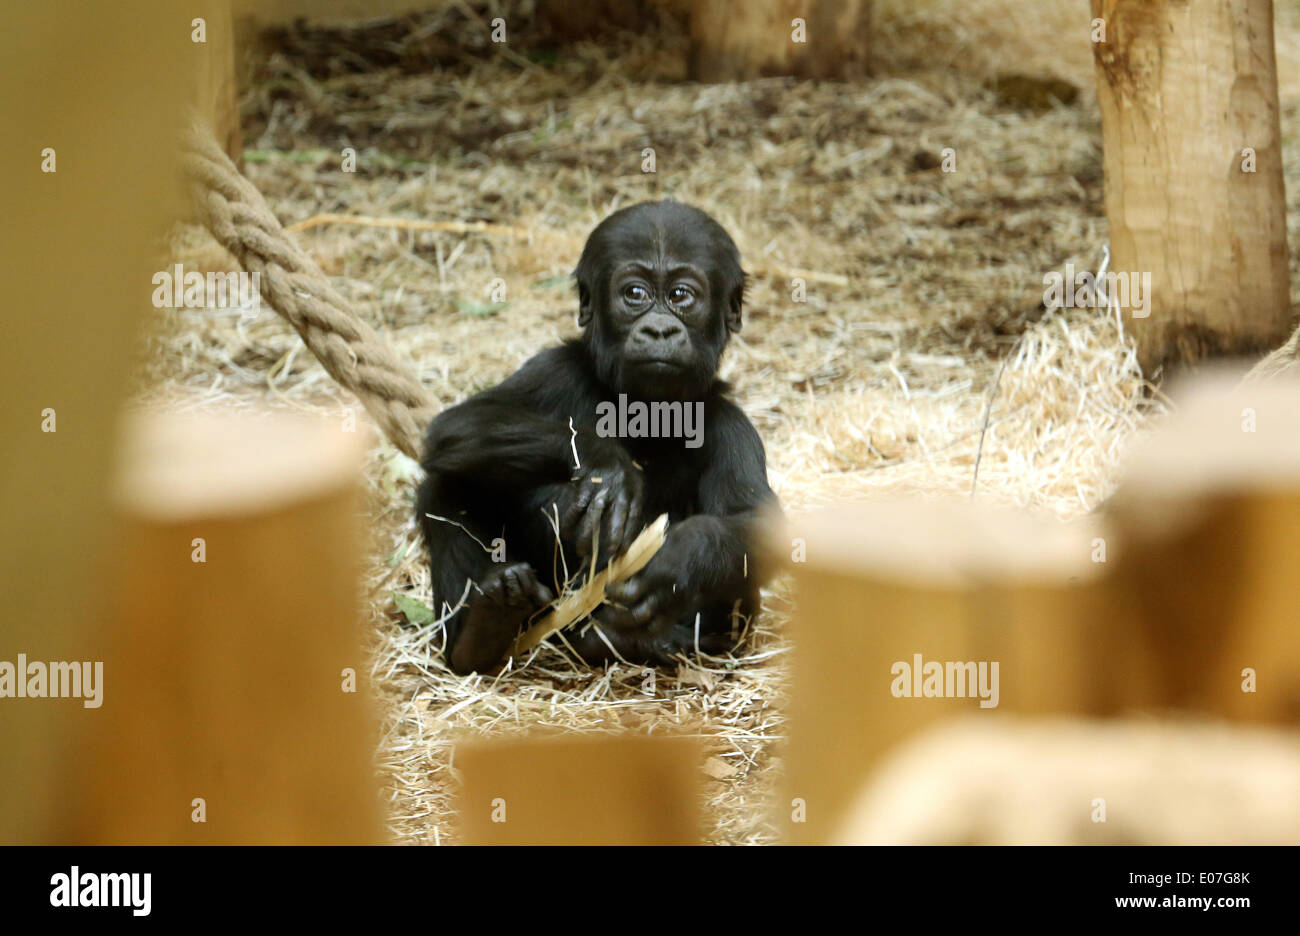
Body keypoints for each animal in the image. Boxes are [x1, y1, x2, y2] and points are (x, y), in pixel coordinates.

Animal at [421, 198, 774, 670]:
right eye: (635, 295)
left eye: (681, 296)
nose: (659, 330)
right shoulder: (555, 368)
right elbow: (462, 424)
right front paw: (606, 465)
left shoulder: (732, 427)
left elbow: (758, 524)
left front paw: (679, 561)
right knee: (447, 481)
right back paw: (480, 634)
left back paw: (637, 639)